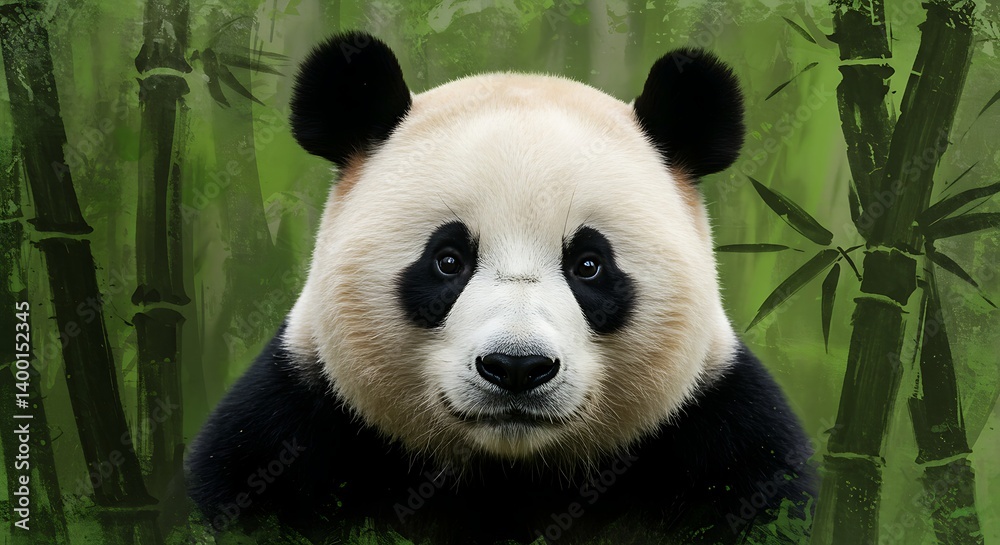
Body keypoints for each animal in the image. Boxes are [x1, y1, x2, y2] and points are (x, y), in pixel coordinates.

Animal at [188, 31, 815, 545]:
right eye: (447, 261)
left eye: (589, 265)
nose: (516, 367)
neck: (509, 473)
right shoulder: (293, 433)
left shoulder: (721, 443)